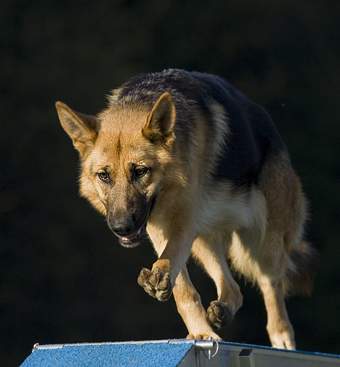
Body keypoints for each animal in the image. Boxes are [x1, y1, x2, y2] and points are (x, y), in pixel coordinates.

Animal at [55, 69, 314, 350]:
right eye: (104, 176)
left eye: (140, 171)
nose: (121, 227)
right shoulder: (160, 228)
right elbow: (183, 288)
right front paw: (201, 332)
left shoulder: (183, 222)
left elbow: (170, 259)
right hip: (204, 241)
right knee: (233, 287)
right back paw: (222, 311)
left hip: (264, 245)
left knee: (272, 289)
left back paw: (282, 340)